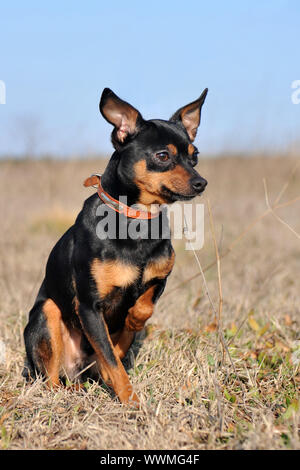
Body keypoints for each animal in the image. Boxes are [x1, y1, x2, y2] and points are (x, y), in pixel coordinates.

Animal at [22, 89, 207, 408]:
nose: (201, 183)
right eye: (163, 156)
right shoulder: (89, 306)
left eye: (194, 156)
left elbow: (141, 311)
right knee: (50, 379)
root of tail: (75, 372)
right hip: (48, 313)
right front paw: (131, 402)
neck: (138, 222)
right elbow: (111, 361)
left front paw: (131, 321)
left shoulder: (159, 280)